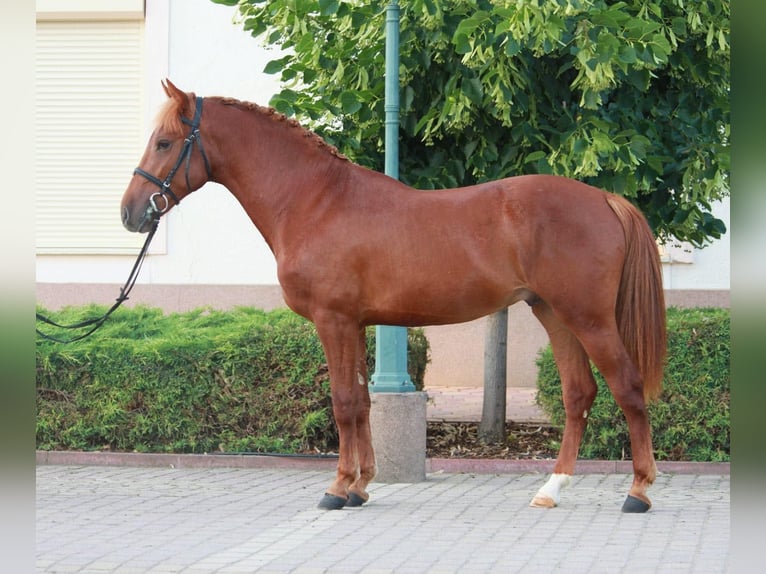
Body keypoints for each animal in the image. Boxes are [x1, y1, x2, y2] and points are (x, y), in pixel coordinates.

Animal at [120, 80, 664, 512]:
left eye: (164, 142)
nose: (130, 212)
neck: (316, 200)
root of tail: (604, 199)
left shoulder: (334, 320)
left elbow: (342, 402)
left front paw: (337, 488)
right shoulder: (357, 324)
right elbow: (362, 402)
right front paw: (361, 486)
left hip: (590, 319)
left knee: (628, 389)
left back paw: (638, 492)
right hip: (554, 313)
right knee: (579, 394)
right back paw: (552, 489)